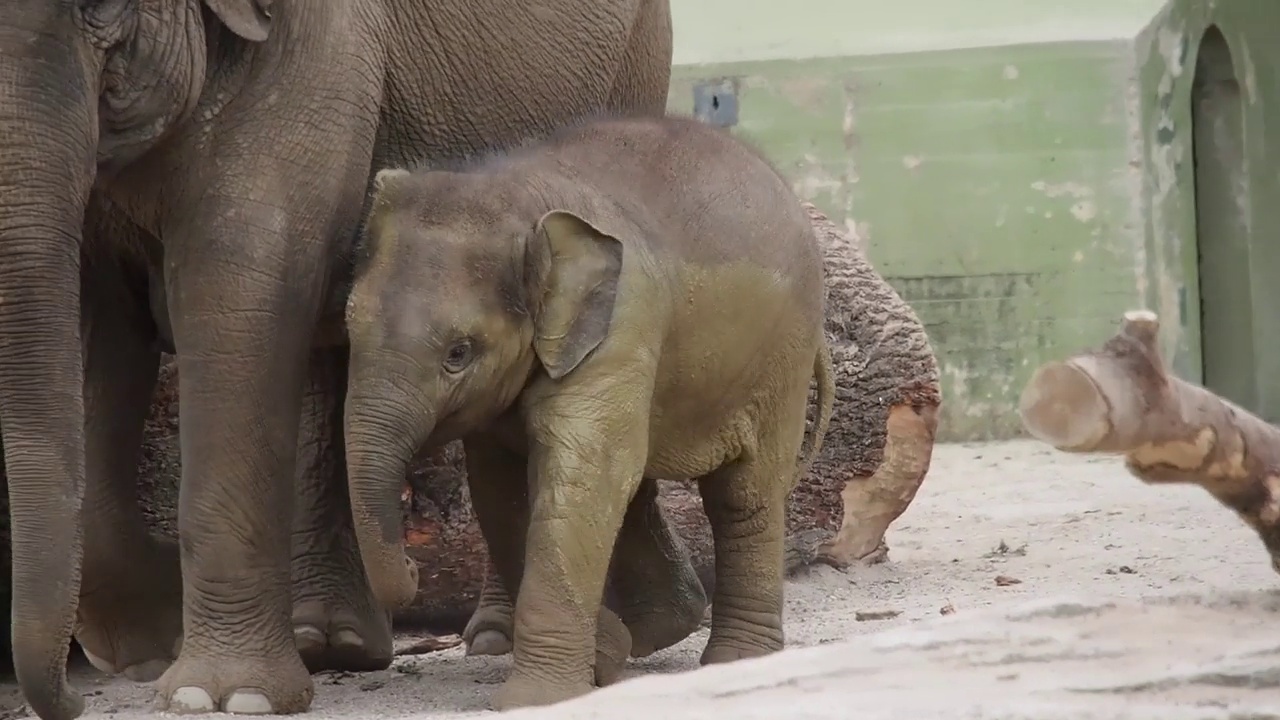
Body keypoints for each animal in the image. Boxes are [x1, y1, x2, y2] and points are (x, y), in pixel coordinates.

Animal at [0, 1, 691, 717]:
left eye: (100, 9)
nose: (72, 703)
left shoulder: (318, 48)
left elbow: (239, 292)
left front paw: (220, 694)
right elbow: (93, 316)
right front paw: (149, 650)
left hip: (636, 64)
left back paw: (524, 639)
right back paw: (334, 644)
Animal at [345, 116, 834, 707]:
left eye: (458, 353)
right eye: (347, 327)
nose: (416, 568)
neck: (518, 193)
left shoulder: (623, 323)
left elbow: (580, 476)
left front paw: (537, 699)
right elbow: (502, 489)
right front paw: (604, 657)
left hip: (780, 356)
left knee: (744, 493)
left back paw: (735, 662)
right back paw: (656, 632)